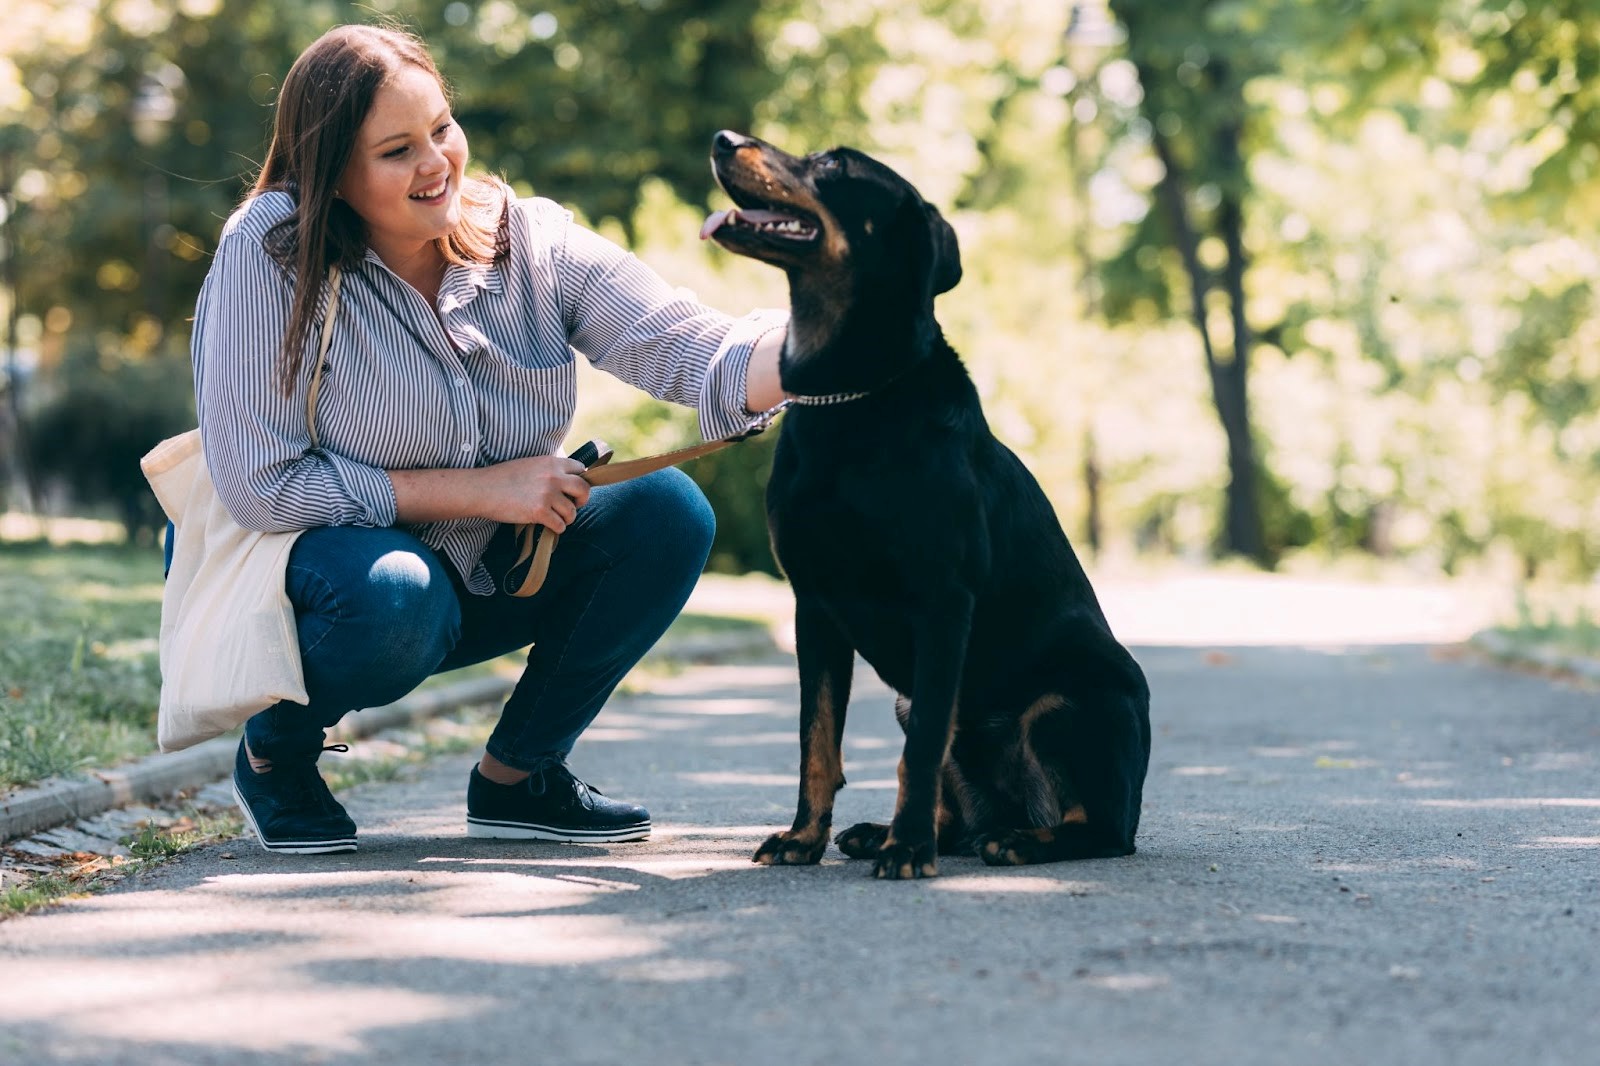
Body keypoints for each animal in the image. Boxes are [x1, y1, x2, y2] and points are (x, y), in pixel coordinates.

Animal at [704, 128, 1152, 877]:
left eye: (833, 163)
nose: (723, 140)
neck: (848, 398)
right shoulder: (813, 607)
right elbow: (816, 743)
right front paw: (804, 837)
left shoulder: (942, 601)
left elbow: (917, 755)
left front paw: (908, 849)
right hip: (908, 701)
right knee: (961, 803)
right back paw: (891, 832)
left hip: (1074, 698)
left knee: (1099, 825)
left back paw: (1013, 840)